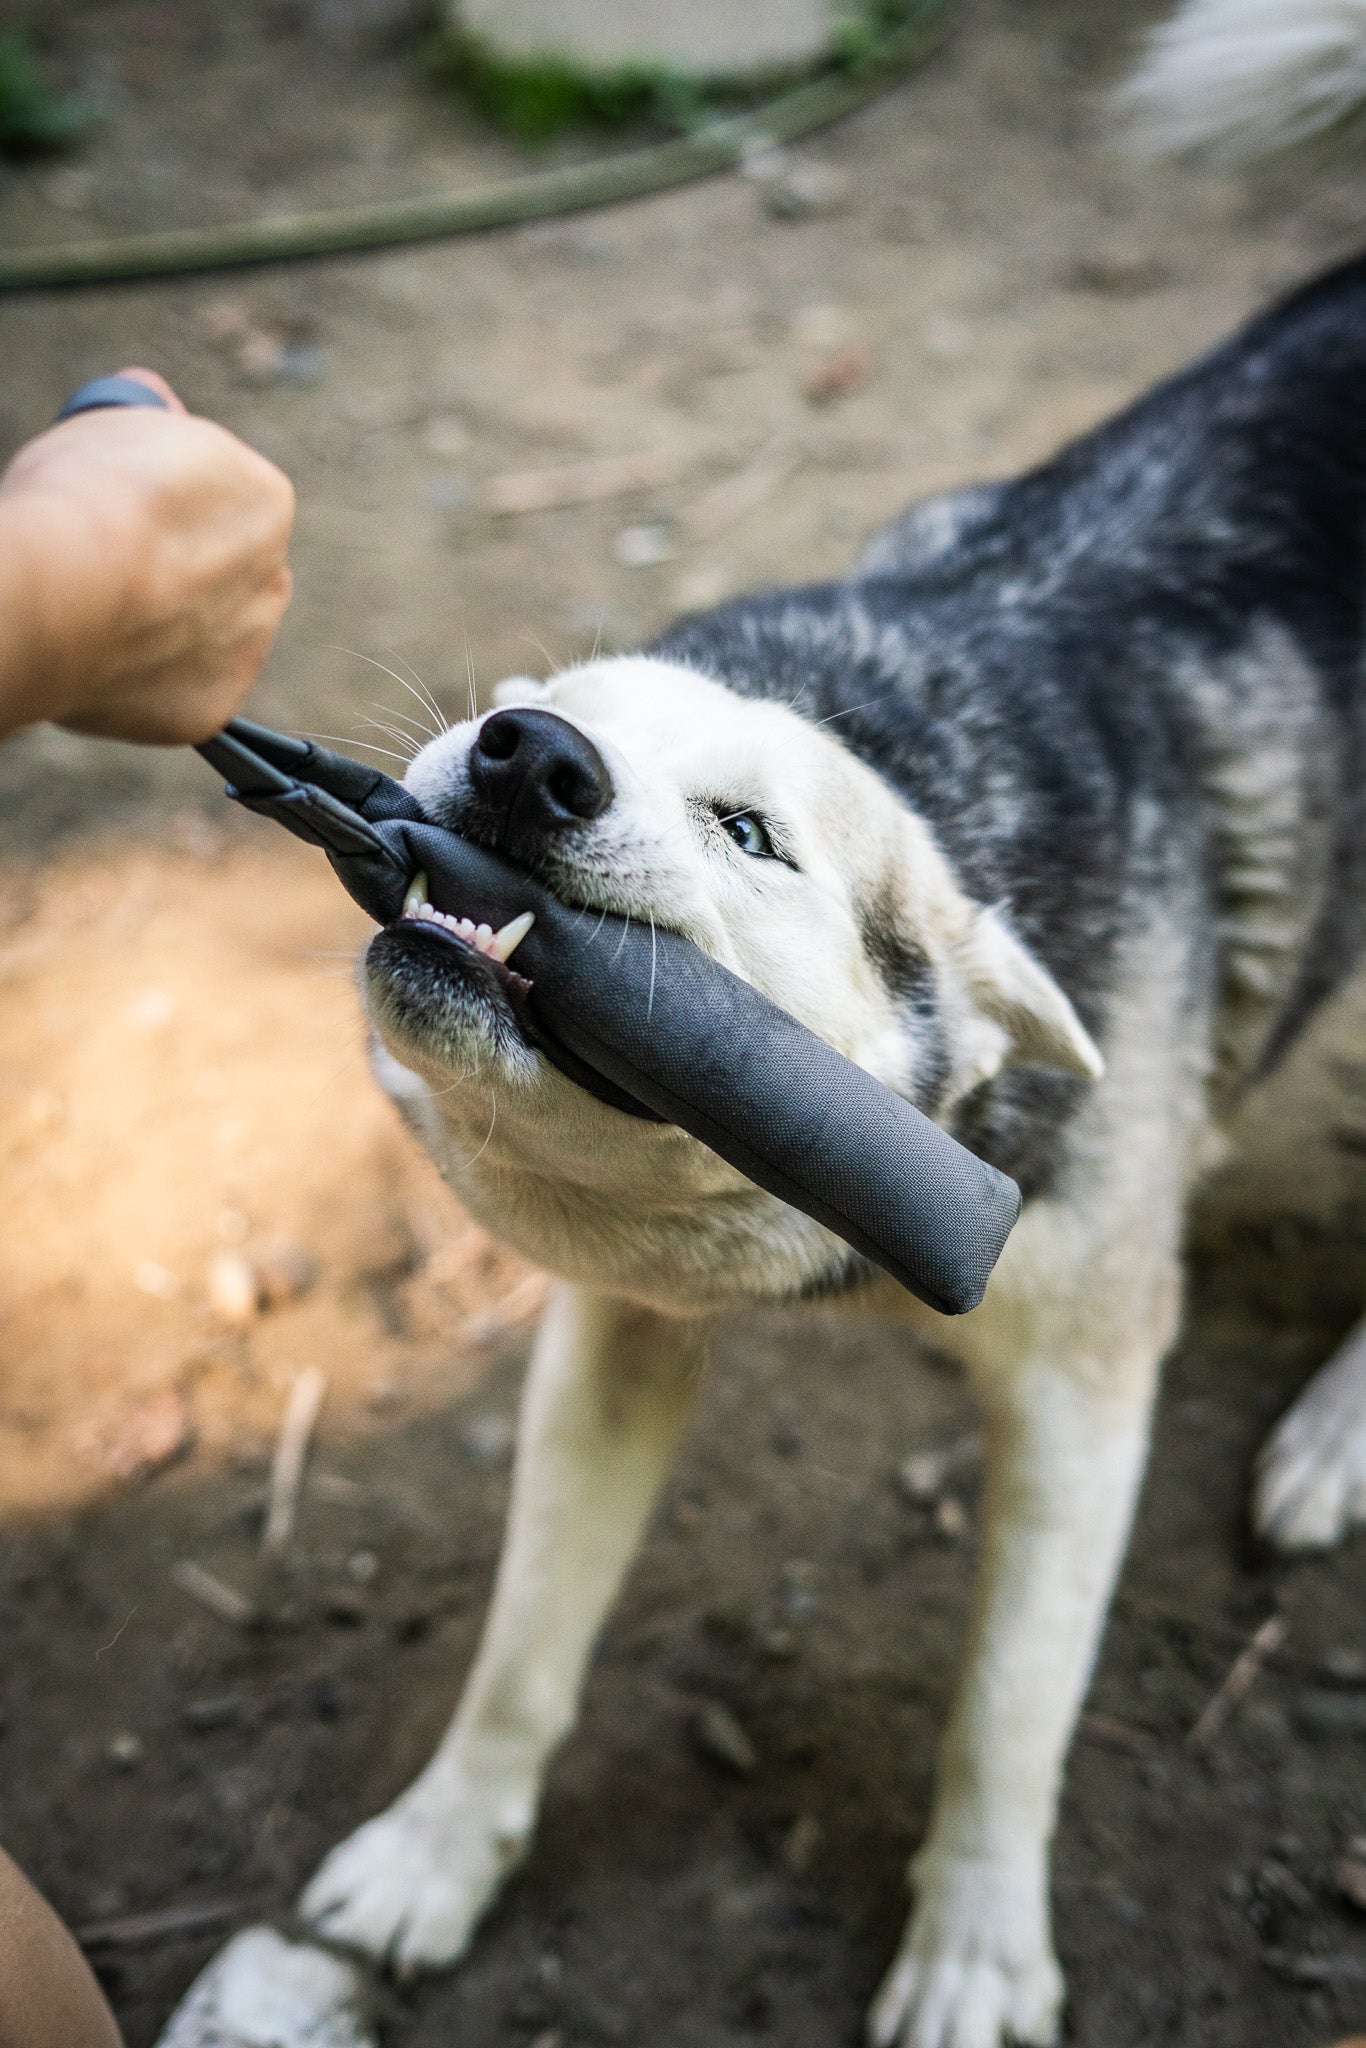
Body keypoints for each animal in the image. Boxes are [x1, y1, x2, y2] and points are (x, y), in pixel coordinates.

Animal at [165, 256, 1366, 2048]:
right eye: (527, 711)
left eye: (749, 835)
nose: (529, 754)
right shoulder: (612, 1343)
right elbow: (525, 1642)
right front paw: (443, 1845)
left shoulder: (1085, 1385)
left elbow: (1008, 1704)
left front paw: (973, 1943)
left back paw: (1335, 1437)